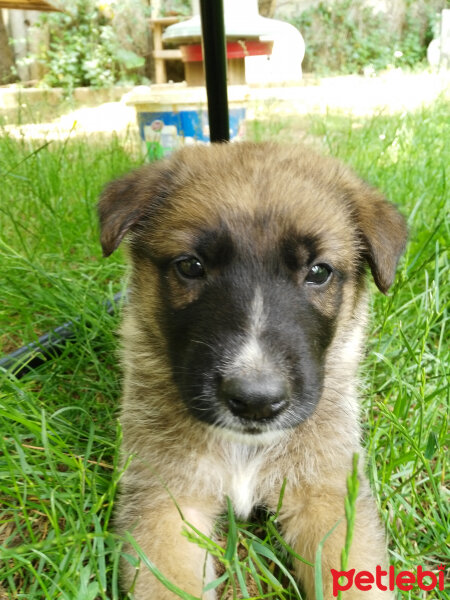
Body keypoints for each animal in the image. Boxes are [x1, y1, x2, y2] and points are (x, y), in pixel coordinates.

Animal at [98, 142, 408, 600]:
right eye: (191, 266)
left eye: (319, 272)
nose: (256, 401)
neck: (246, 448)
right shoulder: (166, 501)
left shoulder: (327, 494)